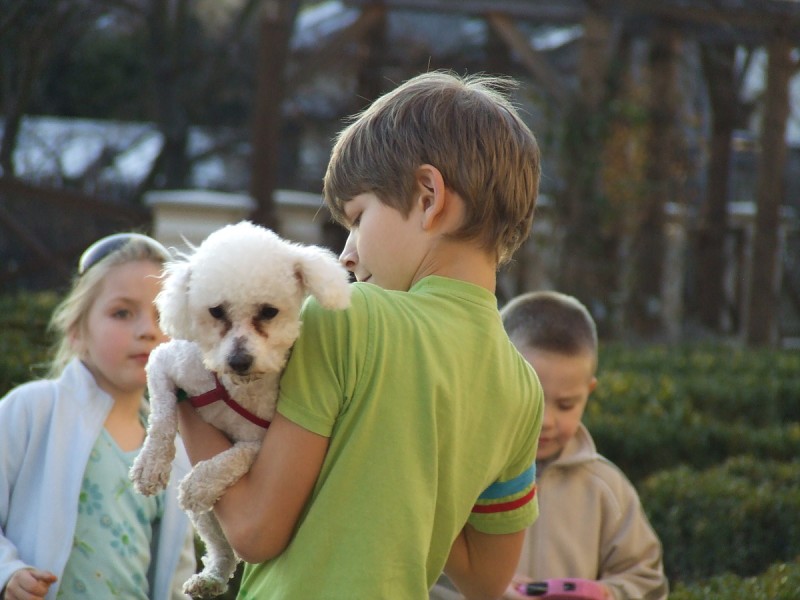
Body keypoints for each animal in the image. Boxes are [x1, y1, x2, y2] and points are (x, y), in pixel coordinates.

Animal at [130, 219, 350, 596]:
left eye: (269, 312)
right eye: (216, 311)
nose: (239, 361)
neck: (233, 386)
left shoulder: (263, 441)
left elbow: (232, 459)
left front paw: (199, 483)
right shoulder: (163, 364)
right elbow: (162, 418)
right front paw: (151, 466)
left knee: (224, 547)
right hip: (207, 520)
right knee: (221, 548)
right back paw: (210, 578)